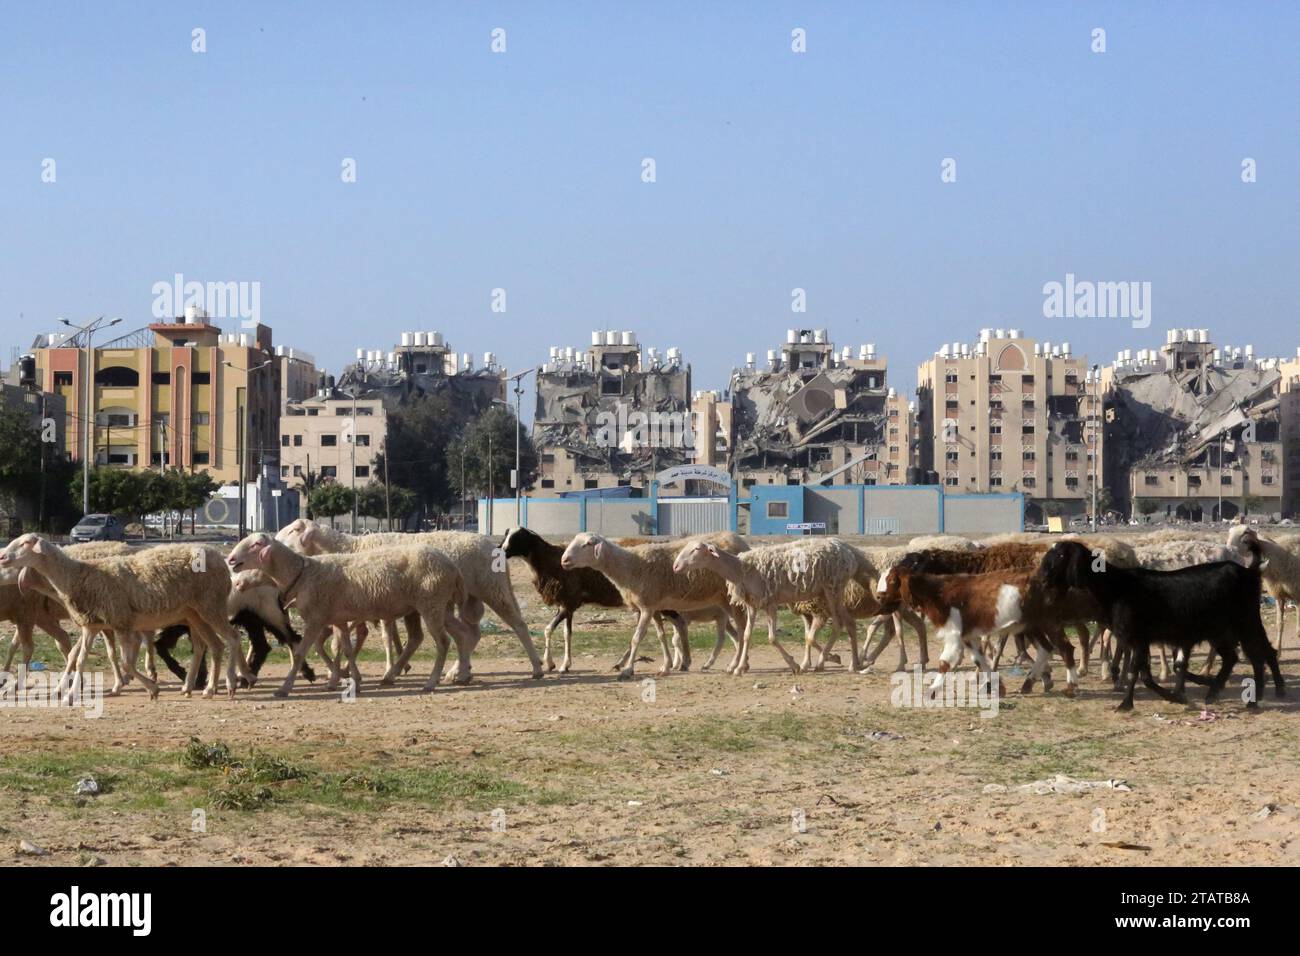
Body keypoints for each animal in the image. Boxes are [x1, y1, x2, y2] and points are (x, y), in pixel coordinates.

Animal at [1034, 538, 1279, 712]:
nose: (1043, 580)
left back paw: (1263, 695)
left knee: (1260, 654)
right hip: (1221, 630)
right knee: (1235, 657)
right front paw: (1172, 696)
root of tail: (1249, 571)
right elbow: (1143, 674)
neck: (1116, 587)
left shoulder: (1138, 637)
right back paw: (1216, 691)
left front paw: (1129, 703)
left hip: (1246, 621)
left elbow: (1138, 672)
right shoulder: (1137, 640)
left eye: (1061, 554)